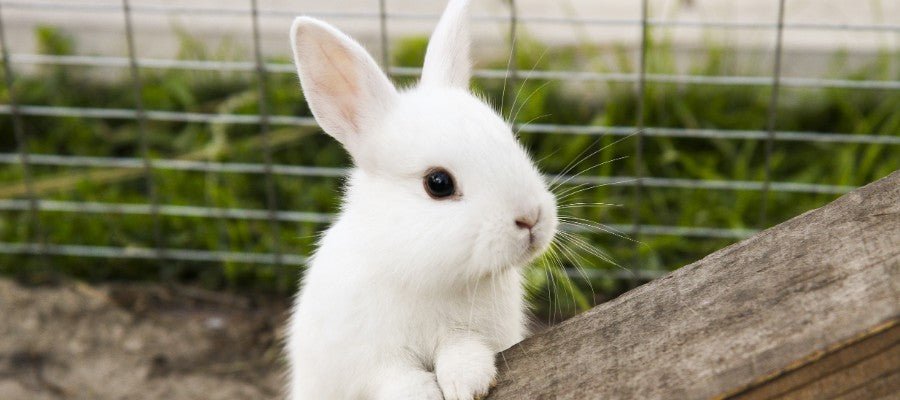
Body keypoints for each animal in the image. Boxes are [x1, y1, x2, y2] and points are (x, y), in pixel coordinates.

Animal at [285, 0, 558, 399]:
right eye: (438, 183)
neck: (425, 275)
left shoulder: (471, 332)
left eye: (511, 139)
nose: (531, 218)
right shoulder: (370, 360)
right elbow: (396, 377)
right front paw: (425, 392)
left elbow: (462, 349)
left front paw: (468, 382)